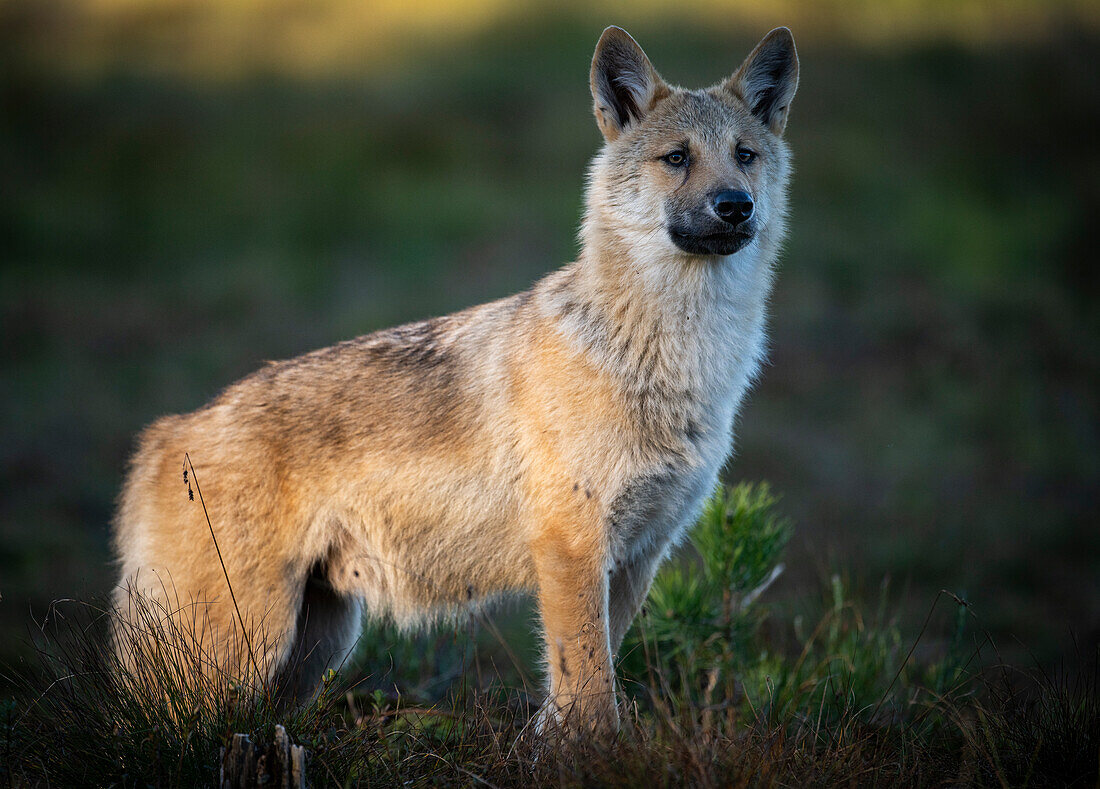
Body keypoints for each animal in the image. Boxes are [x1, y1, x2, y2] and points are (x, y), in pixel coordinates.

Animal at [111, 27, 800, 735]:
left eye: (745, 156)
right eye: (677, 158)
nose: (736, 205)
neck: (671, 365)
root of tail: (166, 433)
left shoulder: (638, 557)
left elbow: (579, 690)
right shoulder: (573, 551)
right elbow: (591, 698)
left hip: (310, 651)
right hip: (241, 655)